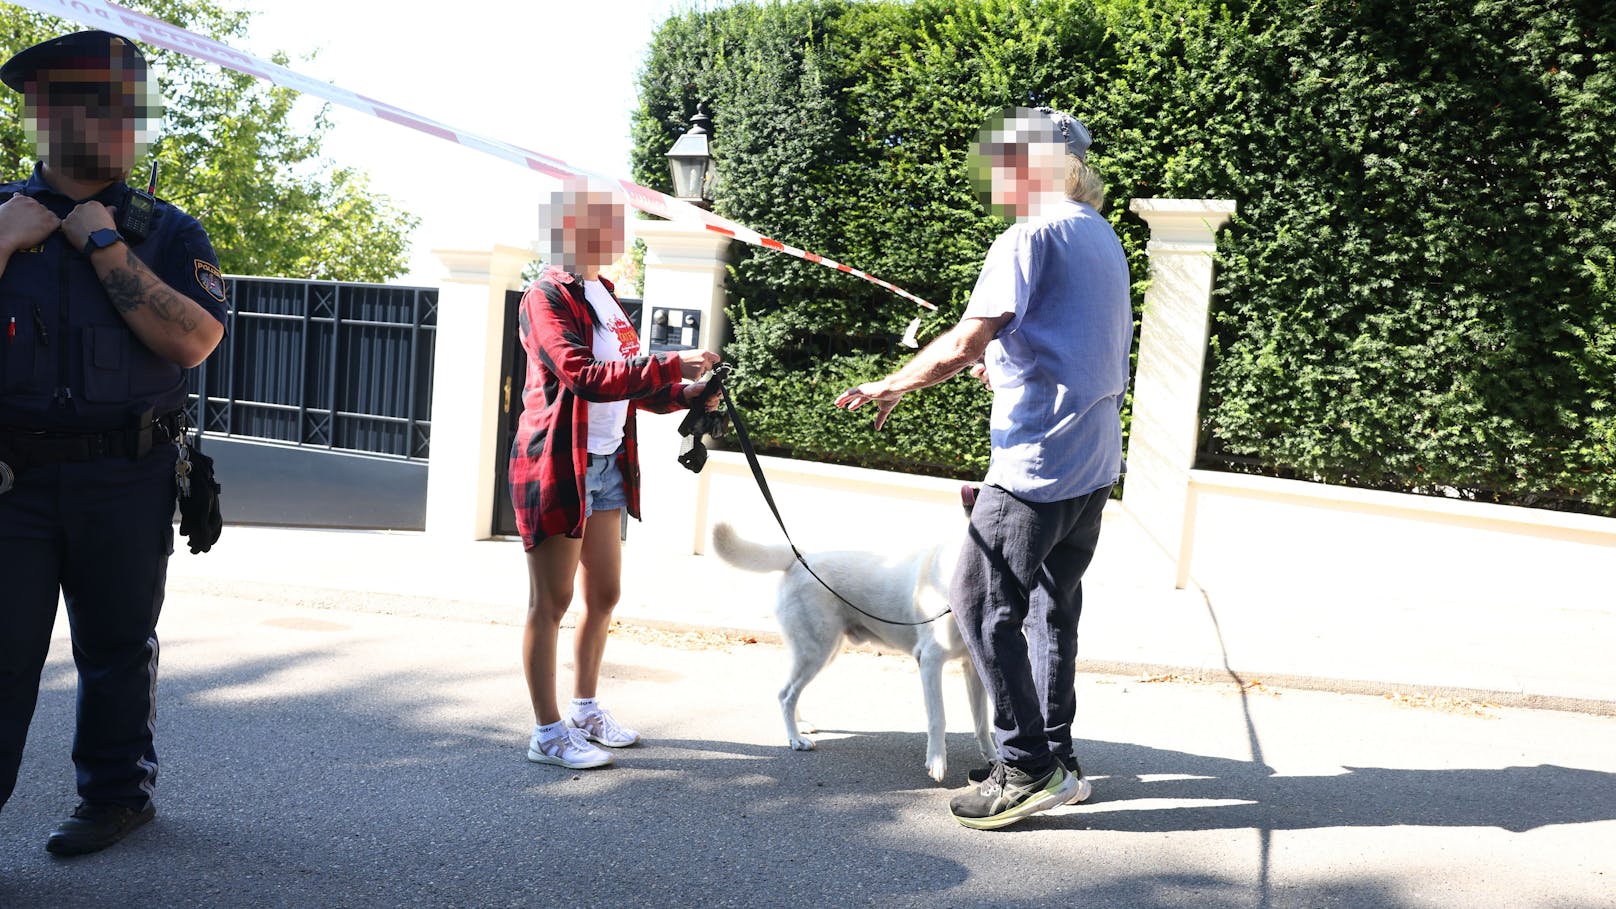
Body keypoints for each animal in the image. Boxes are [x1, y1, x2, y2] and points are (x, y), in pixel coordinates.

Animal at [711, 501, 988, 779]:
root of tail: (799, 559)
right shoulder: (930, 661)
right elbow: (938, 717)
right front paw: (937, 761)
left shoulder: (974, 668)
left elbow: (982, 722)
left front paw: (992, 759)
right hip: (817, 652)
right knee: (786, 694)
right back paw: (795, 739)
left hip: (816, 650)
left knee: (788, 690)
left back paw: (800, 725)